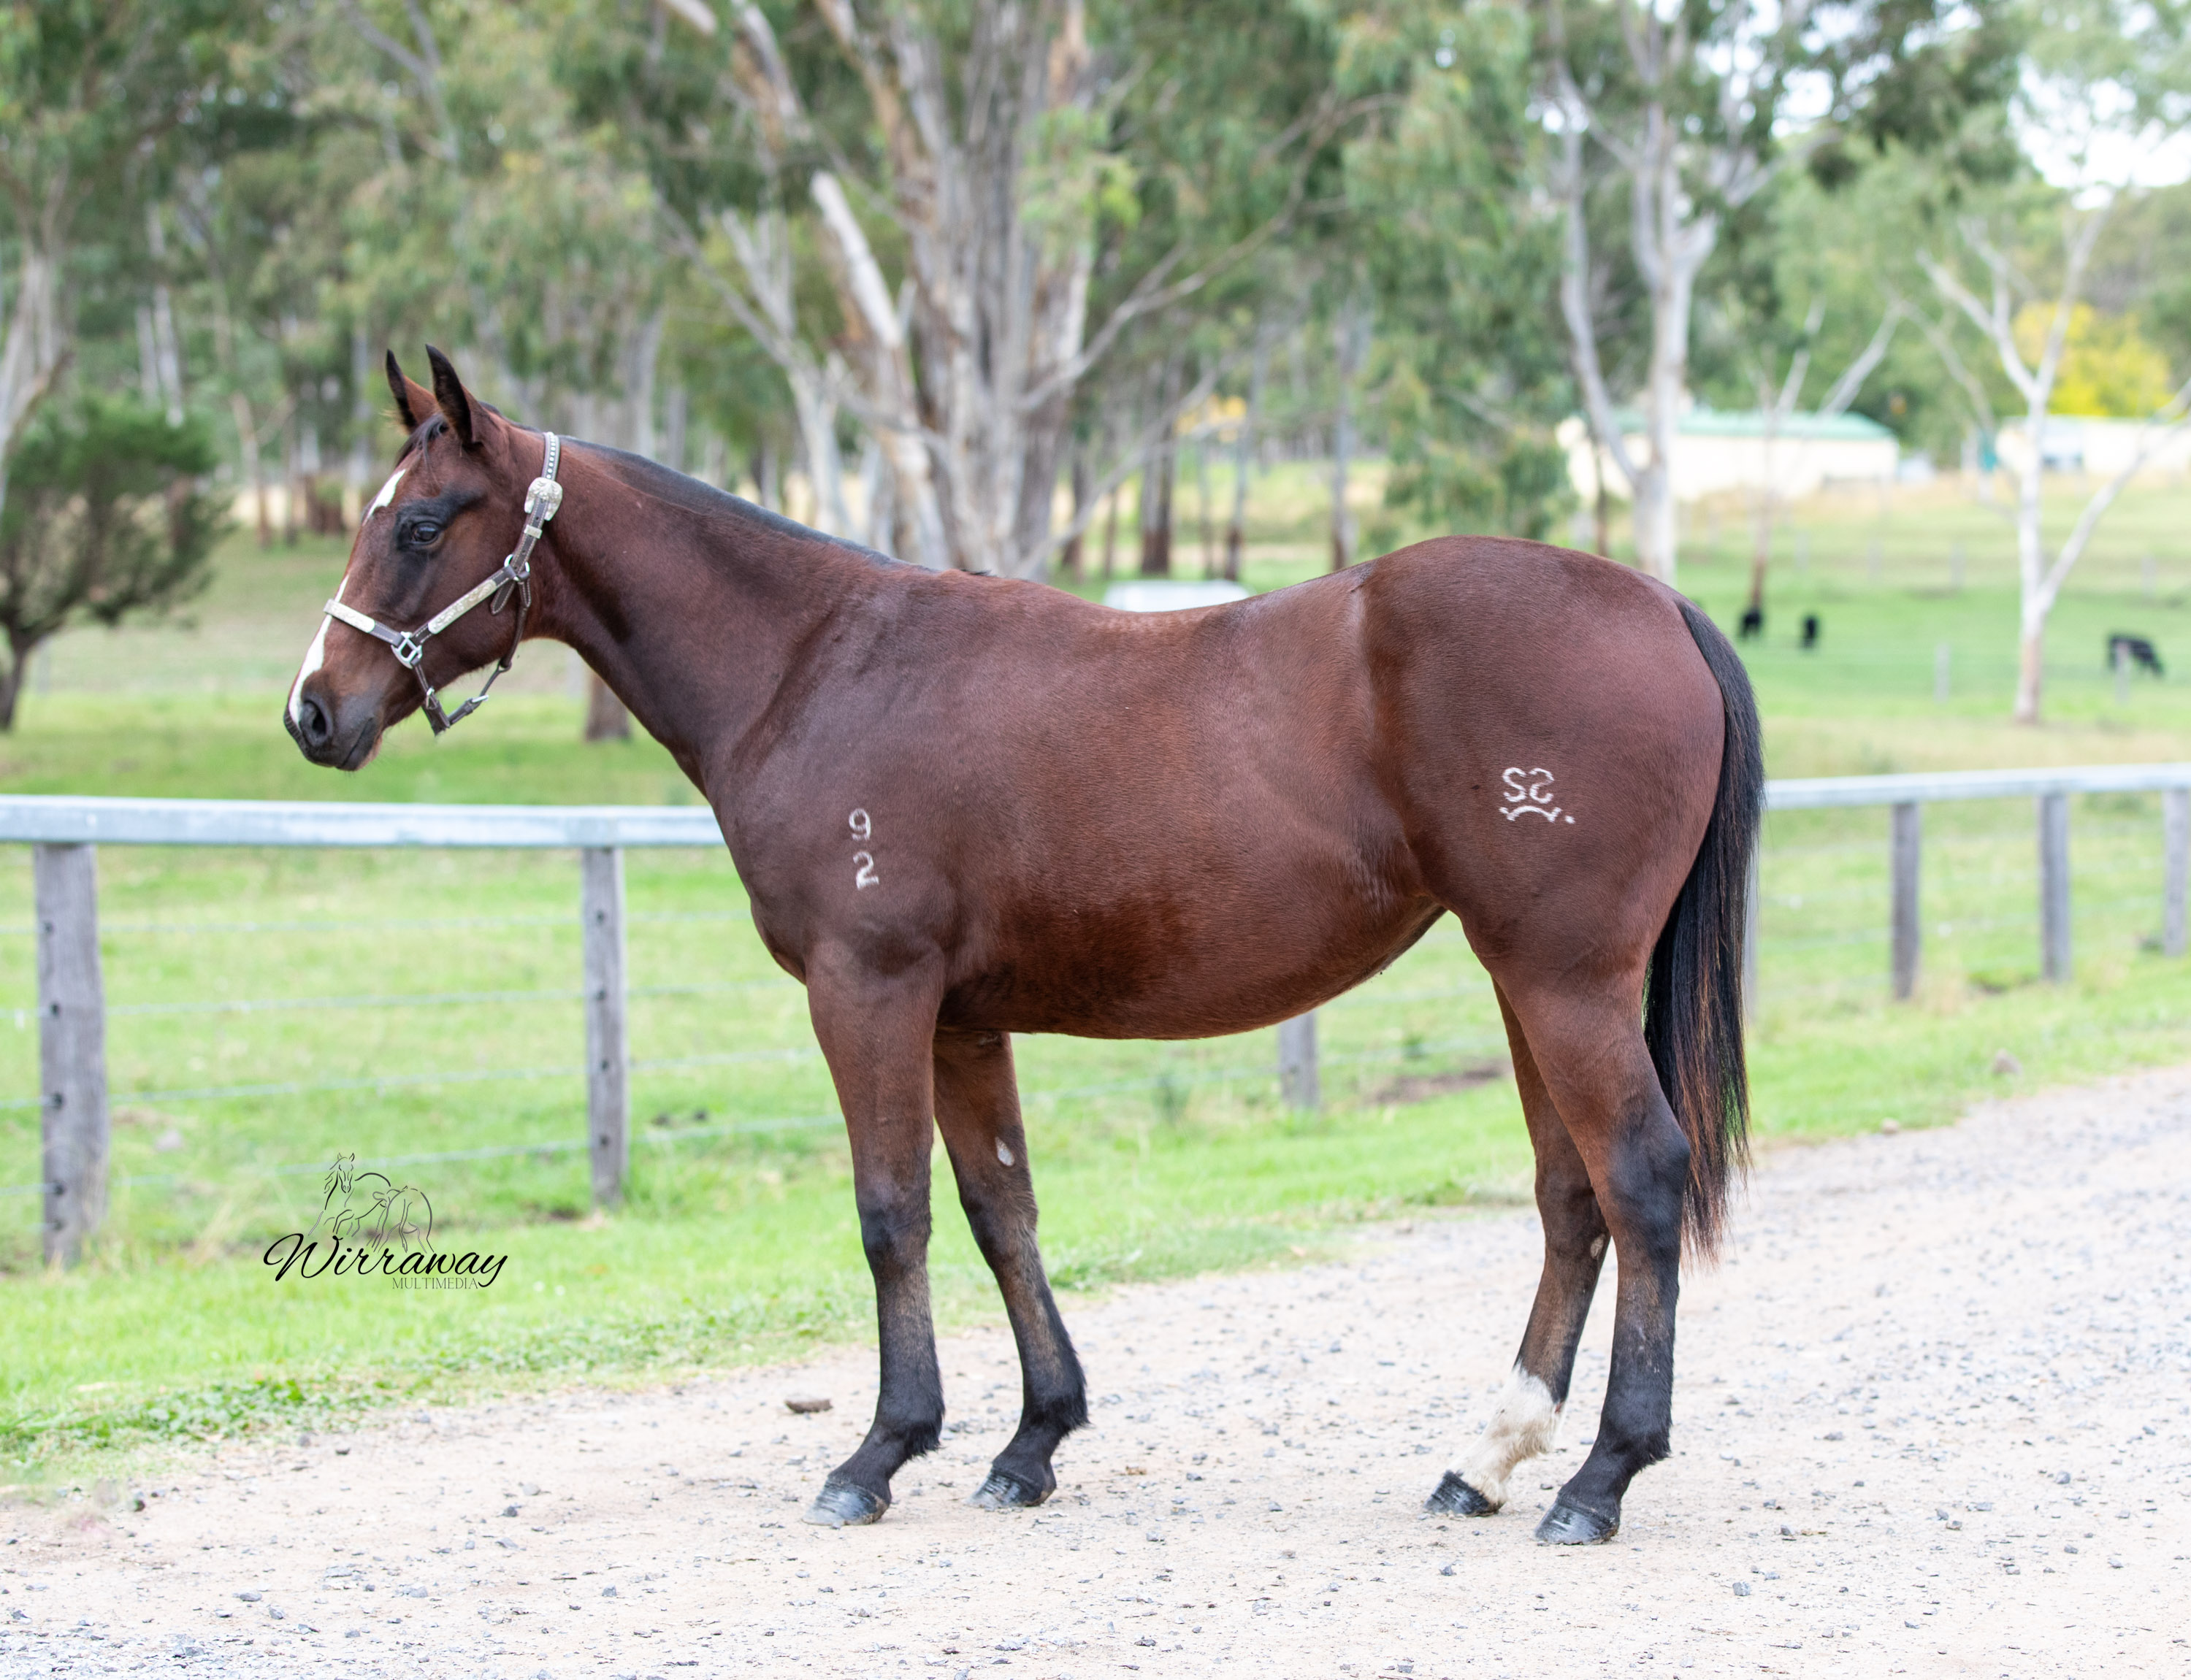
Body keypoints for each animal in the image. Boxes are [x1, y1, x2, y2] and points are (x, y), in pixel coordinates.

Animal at [284, 349, 1762, 1546]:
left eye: (419, 524)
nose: (313, 711)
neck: (813, 665)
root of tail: (1657, 605)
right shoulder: (959, 1017)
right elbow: (1003, 1210)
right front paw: (1032, 1441)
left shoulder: (868, 993)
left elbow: (892, 1215)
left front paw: (878, 1454)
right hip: (1529, 985)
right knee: (1571, 1197)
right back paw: (1487, 1461)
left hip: (1563, 983)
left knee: (1639, 1176)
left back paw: (1601, 1478)